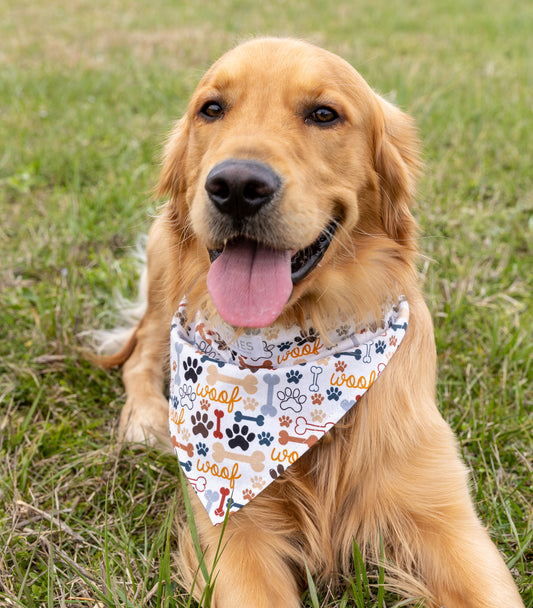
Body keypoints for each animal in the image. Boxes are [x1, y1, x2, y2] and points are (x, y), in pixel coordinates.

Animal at [93, 36, 520, 608]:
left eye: (324, 114)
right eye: (212, 109)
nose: (236, 185)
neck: (296, 346)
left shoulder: (444, 515)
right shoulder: (231, 524)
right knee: (139, 355)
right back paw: (145, 420)